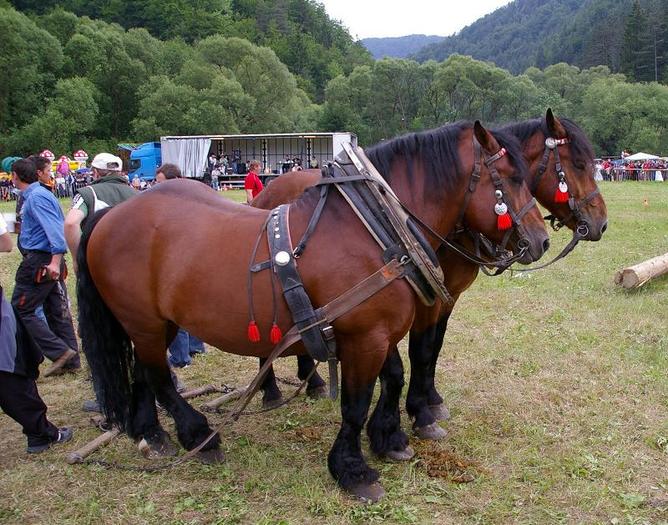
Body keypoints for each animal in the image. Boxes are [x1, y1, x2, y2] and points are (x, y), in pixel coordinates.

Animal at [77, 118, 548, 500]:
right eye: (510, 177)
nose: (541, 240)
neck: (376, 229)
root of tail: (111, 215)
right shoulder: (366, 337)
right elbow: (355, 404)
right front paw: (353, 470)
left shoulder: (375, 332)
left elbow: (394, 378)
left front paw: (390, 437)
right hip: (144, 320)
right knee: (159, 376)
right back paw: (199, 436)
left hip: (159, 322)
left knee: (143, 370)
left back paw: (151, 434)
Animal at [253, 110, 608, 442]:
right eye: (579, 164)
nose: (601, 223)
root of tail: (268, 190)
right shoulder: (420, 298)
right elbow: (417, 351)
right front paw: (416, 413)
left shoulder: (447, 297)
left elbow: (433, 346)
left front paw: (430, 401)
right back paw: (270, 390)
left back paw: (312, 381)